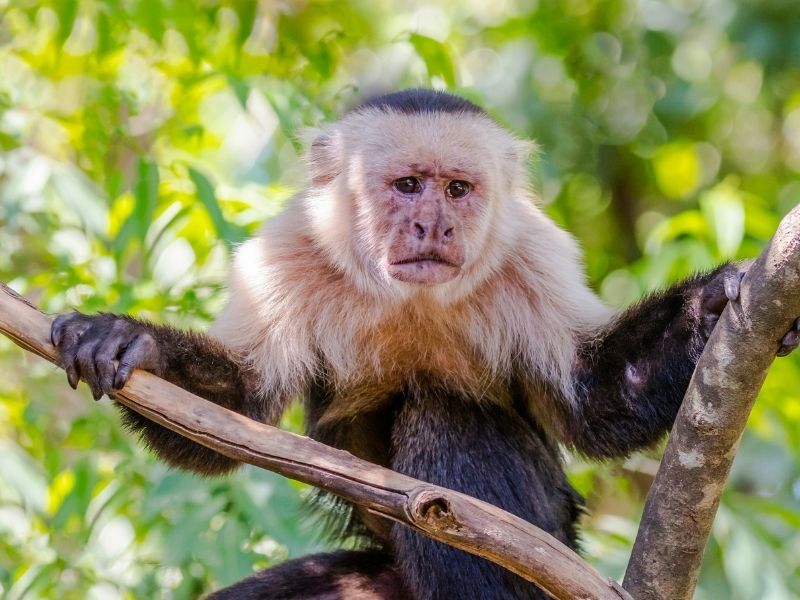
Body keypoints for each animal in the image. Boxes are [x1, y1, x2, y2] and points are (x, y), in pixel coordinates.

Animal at [51, 89, 800, 600]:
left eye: (457, 189)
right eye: (408, 185)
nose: (432, 225)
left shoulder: (533, 252)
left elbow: (595, 404)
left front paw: (714, 301)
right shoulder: (289, 251)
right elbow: (233, 413)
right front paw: (131, 343)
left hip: (554, 542)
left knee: (446, 417)